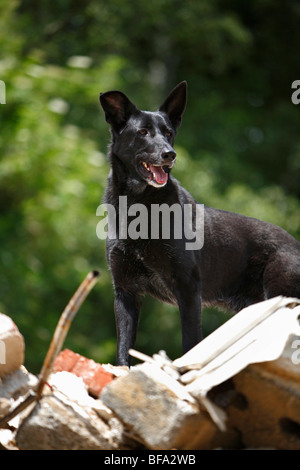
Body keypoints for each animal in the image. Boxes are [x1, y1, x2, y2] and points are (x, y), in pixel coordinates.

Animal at [99, 81, 300, 368]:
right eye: (143, 132)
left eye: (169, 133)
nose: (170, 154)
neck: (140, 206)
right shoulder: (126, 292)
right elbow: (124, 347)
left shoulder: (188, 289)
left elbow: (190, 342)